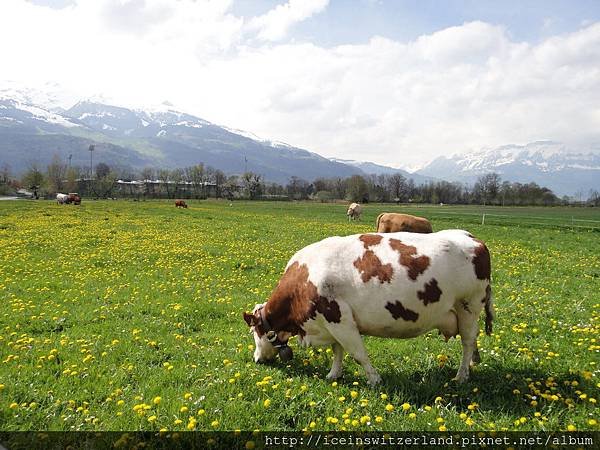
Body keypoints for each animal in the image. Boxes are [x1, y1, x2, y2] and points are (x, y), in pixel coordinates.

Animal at [244, 230, 492, 384]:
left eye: (255, 332)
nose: (257, 359)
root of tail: (471, 237)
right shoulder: (333, 322)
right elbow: (338, 351)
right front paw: (333, 375)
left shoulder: (339, 319)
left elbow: (358, 354)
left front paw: (374, 379)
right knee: (473, 340)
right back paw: (472, 365)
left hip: (468, 306)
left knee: (468, 341)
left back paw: (461, 376)